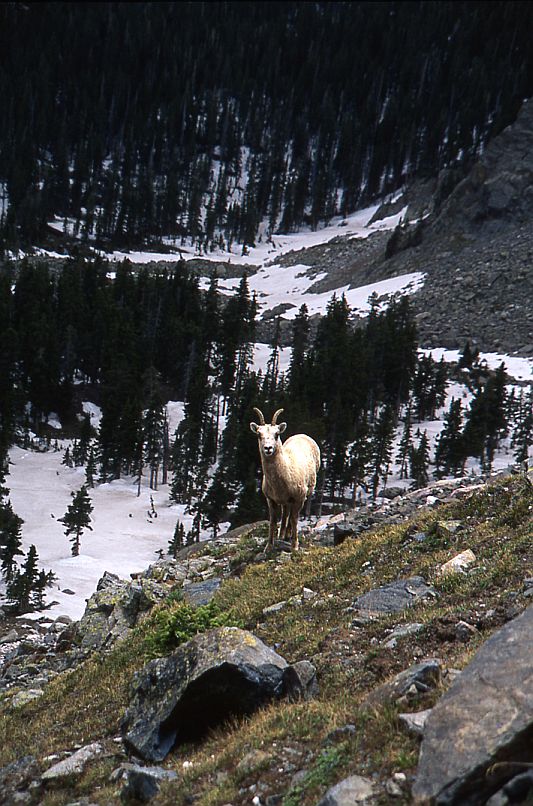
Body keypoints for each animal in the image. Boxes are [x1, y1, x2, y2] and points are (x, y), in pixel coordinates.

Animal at [250, 407, 320, 550]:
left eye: (276, 434)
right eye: (259, 434)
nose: (268, 448)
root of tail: (303, 435)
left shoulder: (299, 498)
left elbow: (294, 519)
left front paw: (294, 546)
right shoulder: (271, 499)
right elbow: (272, 521)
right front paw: (269, 546)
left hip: (303, 495)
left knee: (290, 515)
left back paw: (287, 534)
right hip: (285, 501)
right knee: (285, 512)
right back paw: (282, 534)